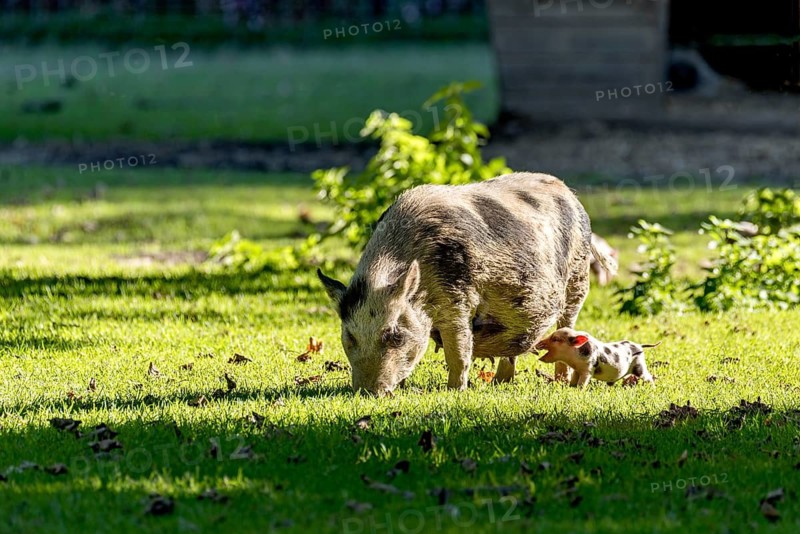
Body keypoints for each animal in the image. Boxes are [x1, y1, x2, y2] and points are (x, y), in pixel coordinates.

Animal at [317, 172, 617, 395]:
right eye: (349, 337)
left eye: (394, 335)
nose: (367, 392)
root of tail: (570, 194)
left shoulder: (458, 297)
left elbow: (459, 349)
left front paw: (454, 391)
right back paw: (500, 383)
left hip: (578, 278)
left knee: (567, 323)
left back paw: (560, 382)